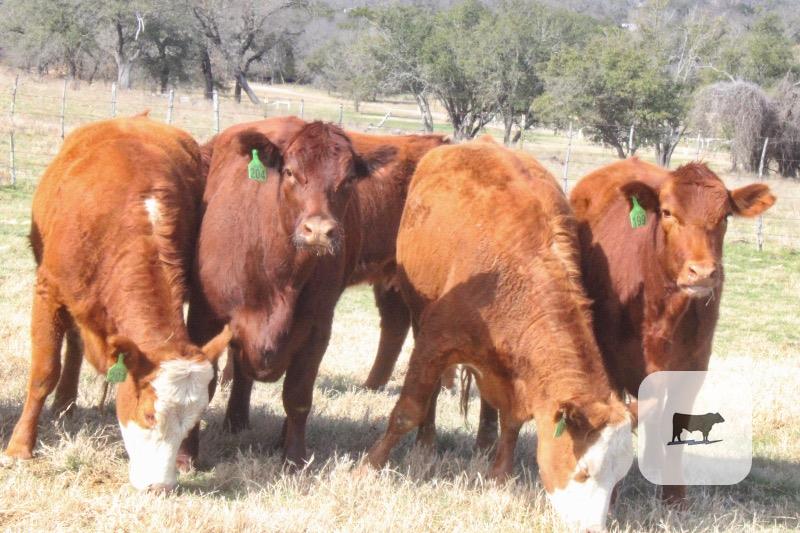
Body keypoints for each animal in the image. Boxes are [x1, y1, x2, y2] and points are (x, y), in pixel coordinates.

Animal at [2, 115, 231, 492]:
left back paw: (65, 404)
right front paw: (19, 448)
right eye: (149, 414)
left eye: (193, 419)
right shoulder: (47, 290)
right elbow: (44, 371)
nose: (160, 488)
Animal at [185, 117, 396, 467]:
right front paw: (186, 455)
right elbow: (204, 383)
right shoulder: (205, 317)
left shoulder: (317, 327)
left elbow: (298, 396)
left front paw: (294, 458)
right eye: (290, 172)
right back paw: (235, 422)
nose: (319, 231)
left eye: (349, 178)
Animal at [365, 139, 634, 532]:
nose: (592, 528)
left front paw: (498, 475)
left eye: (617, 479)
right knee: (429, 396)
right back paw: (426, 443)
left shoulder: (517, 376)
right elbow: (407, 410)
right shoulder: (435, 342)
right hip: (418, 316)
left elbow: (512, 421)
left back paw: (483, 443)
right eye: (584, 472)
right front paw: (369, 465)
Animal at [568, 158, 774, 502]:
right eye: (667, 212)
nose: (702, 272)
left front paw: (675, 498)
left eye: (725, 216)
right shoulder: (609, 363)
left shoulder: (693, 366)